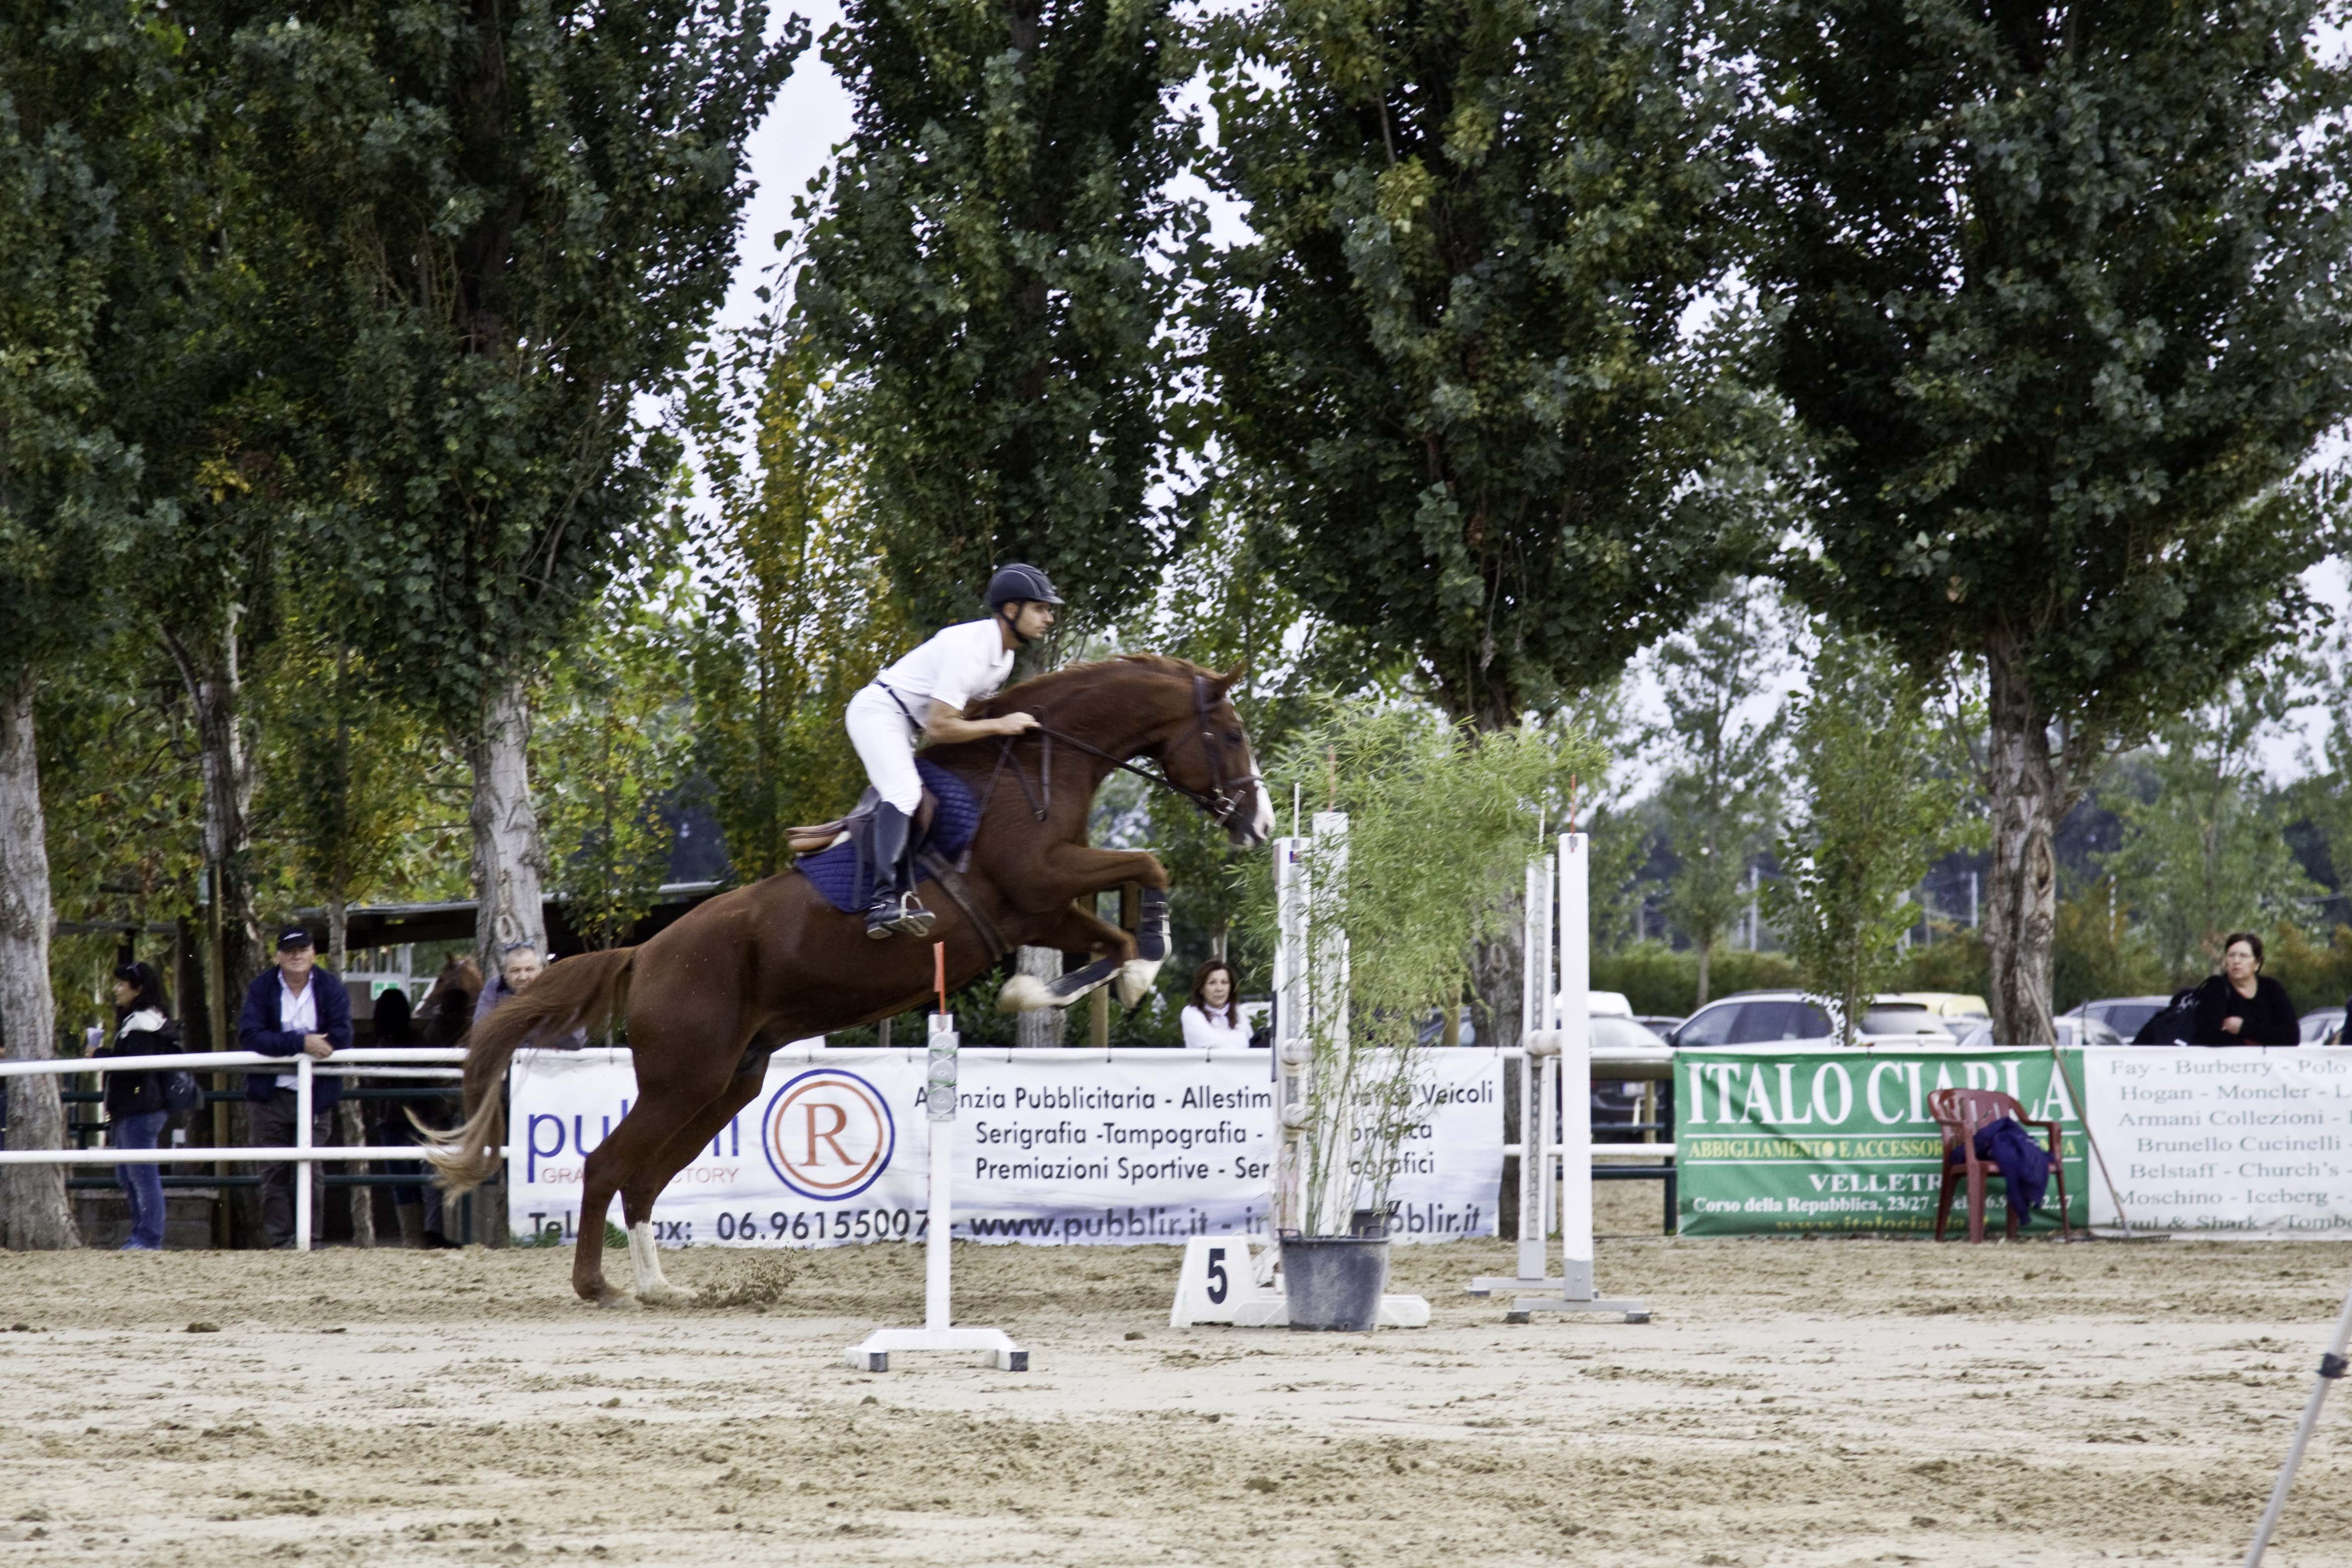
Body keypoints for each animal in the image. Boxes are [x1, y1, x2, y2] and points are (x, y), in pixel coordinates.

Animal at [423, 653, 1271, 1305]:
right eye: (1231, 734)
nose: (1259, 826)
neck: (1036, 768)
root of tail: (647, 954)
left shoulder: (1042, 910)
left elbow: (1121, 909)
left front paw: (1099, 979)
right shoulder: (1037, 884)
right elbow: (1146, 868)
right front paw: (1123, 973)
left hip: (727, 1084)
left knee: (645, 1181)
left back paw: (661, 1287)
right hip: (683, 1079)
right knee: (609, 1166)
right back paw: (598, 1286)